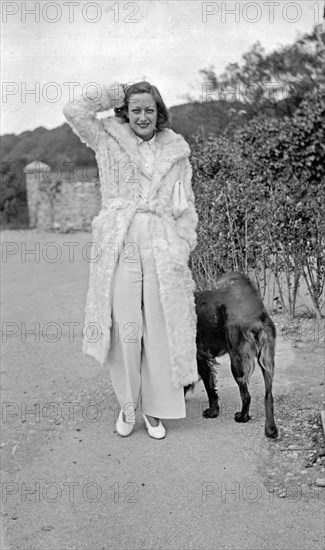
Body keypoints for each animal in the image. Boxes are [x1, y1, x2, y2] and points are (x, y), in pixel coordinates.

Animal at [189, 272, 278, 440]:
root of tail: (253, 312)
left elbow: (209, 388)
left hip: (236, 362)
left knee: (246, 395)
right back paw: (270, 429)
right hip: (267, 360)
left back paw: (242, 417)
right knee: (268, 395)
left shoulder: (200, 357)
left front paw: (213, 412)